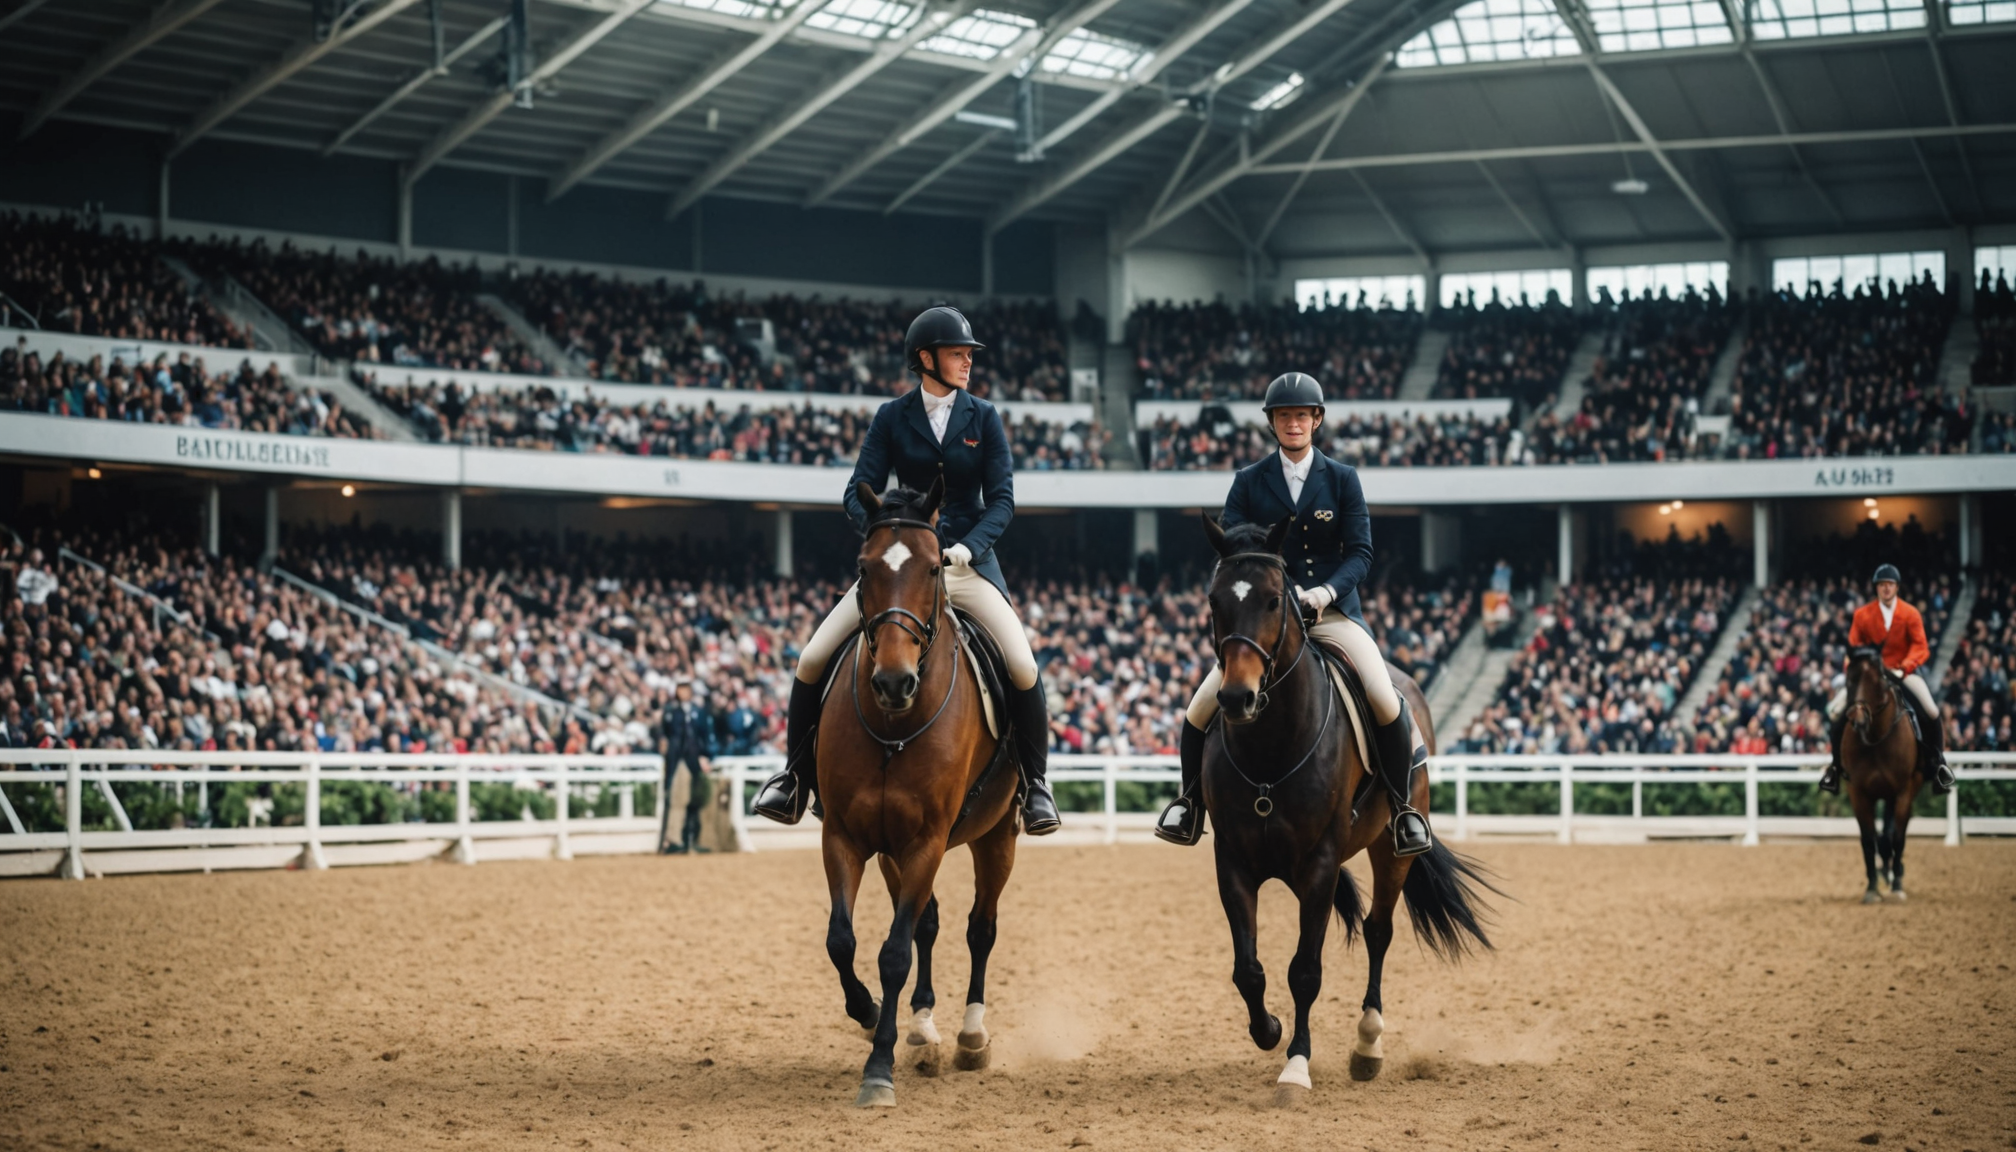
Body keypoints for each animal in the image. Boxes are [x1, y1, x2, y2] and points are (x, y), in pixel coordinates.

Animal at [818, 478, 1023, 1109]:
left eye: (935, 568)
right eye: (863, 568)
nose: (893, 681)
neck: (895, 727)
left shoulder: (928, 841)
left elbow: (894, 953)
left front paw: (878, 1071)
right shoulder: (848, 836)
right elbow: (843, 941)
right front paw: (869, 1016)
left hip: (996, 837)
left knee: (981, 928)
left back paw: (970, 1036)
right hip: (894, 851)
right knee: (927, 924)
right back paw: (922, 1027)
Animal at [1200, 515, 1497, 1105]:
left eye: (1275, 600)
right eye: (1215, 601)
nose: (1237, 699)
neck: (1270, 745)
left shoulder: (1318, 865)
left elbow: (1305, 972)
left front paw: (1296, 1067)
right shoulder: (1234, 863)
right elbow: (1249, 969)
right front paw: (1268, 1031)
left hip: (1392, 847)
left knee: (1379, 930)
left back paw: (1367, 1045)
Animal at [1839, 645, 1923, 903]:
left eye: (1878, 681)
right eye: (1849, 679)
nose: (1858, 720)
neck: (1876, 738)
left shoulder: (1903, 790)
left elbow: (1897, 837)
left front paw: (1896, 885)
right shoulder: (1858, 792)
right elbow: (1868, 839)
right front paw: (1872, 888)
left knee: (1891, 835)